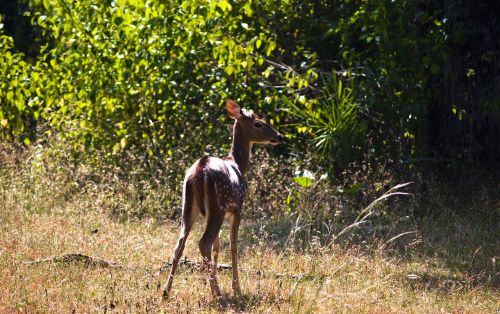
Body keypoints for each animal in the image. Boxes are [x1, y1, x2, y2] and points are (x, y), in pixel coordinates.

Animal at [162, 99, 284, 300]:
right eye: (258, 123)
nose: (280, 136)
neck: (238, 164)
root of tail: (200, 171)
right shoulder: (238, 207)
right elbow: (233, 245)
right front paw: (236, 288)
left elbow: (218, 246)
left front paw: (209, 283)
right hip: (218, 205)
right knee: (203, 242)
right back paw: (218, 294)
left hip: (188, 206)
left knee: (180, 244)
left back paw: (166, 292)